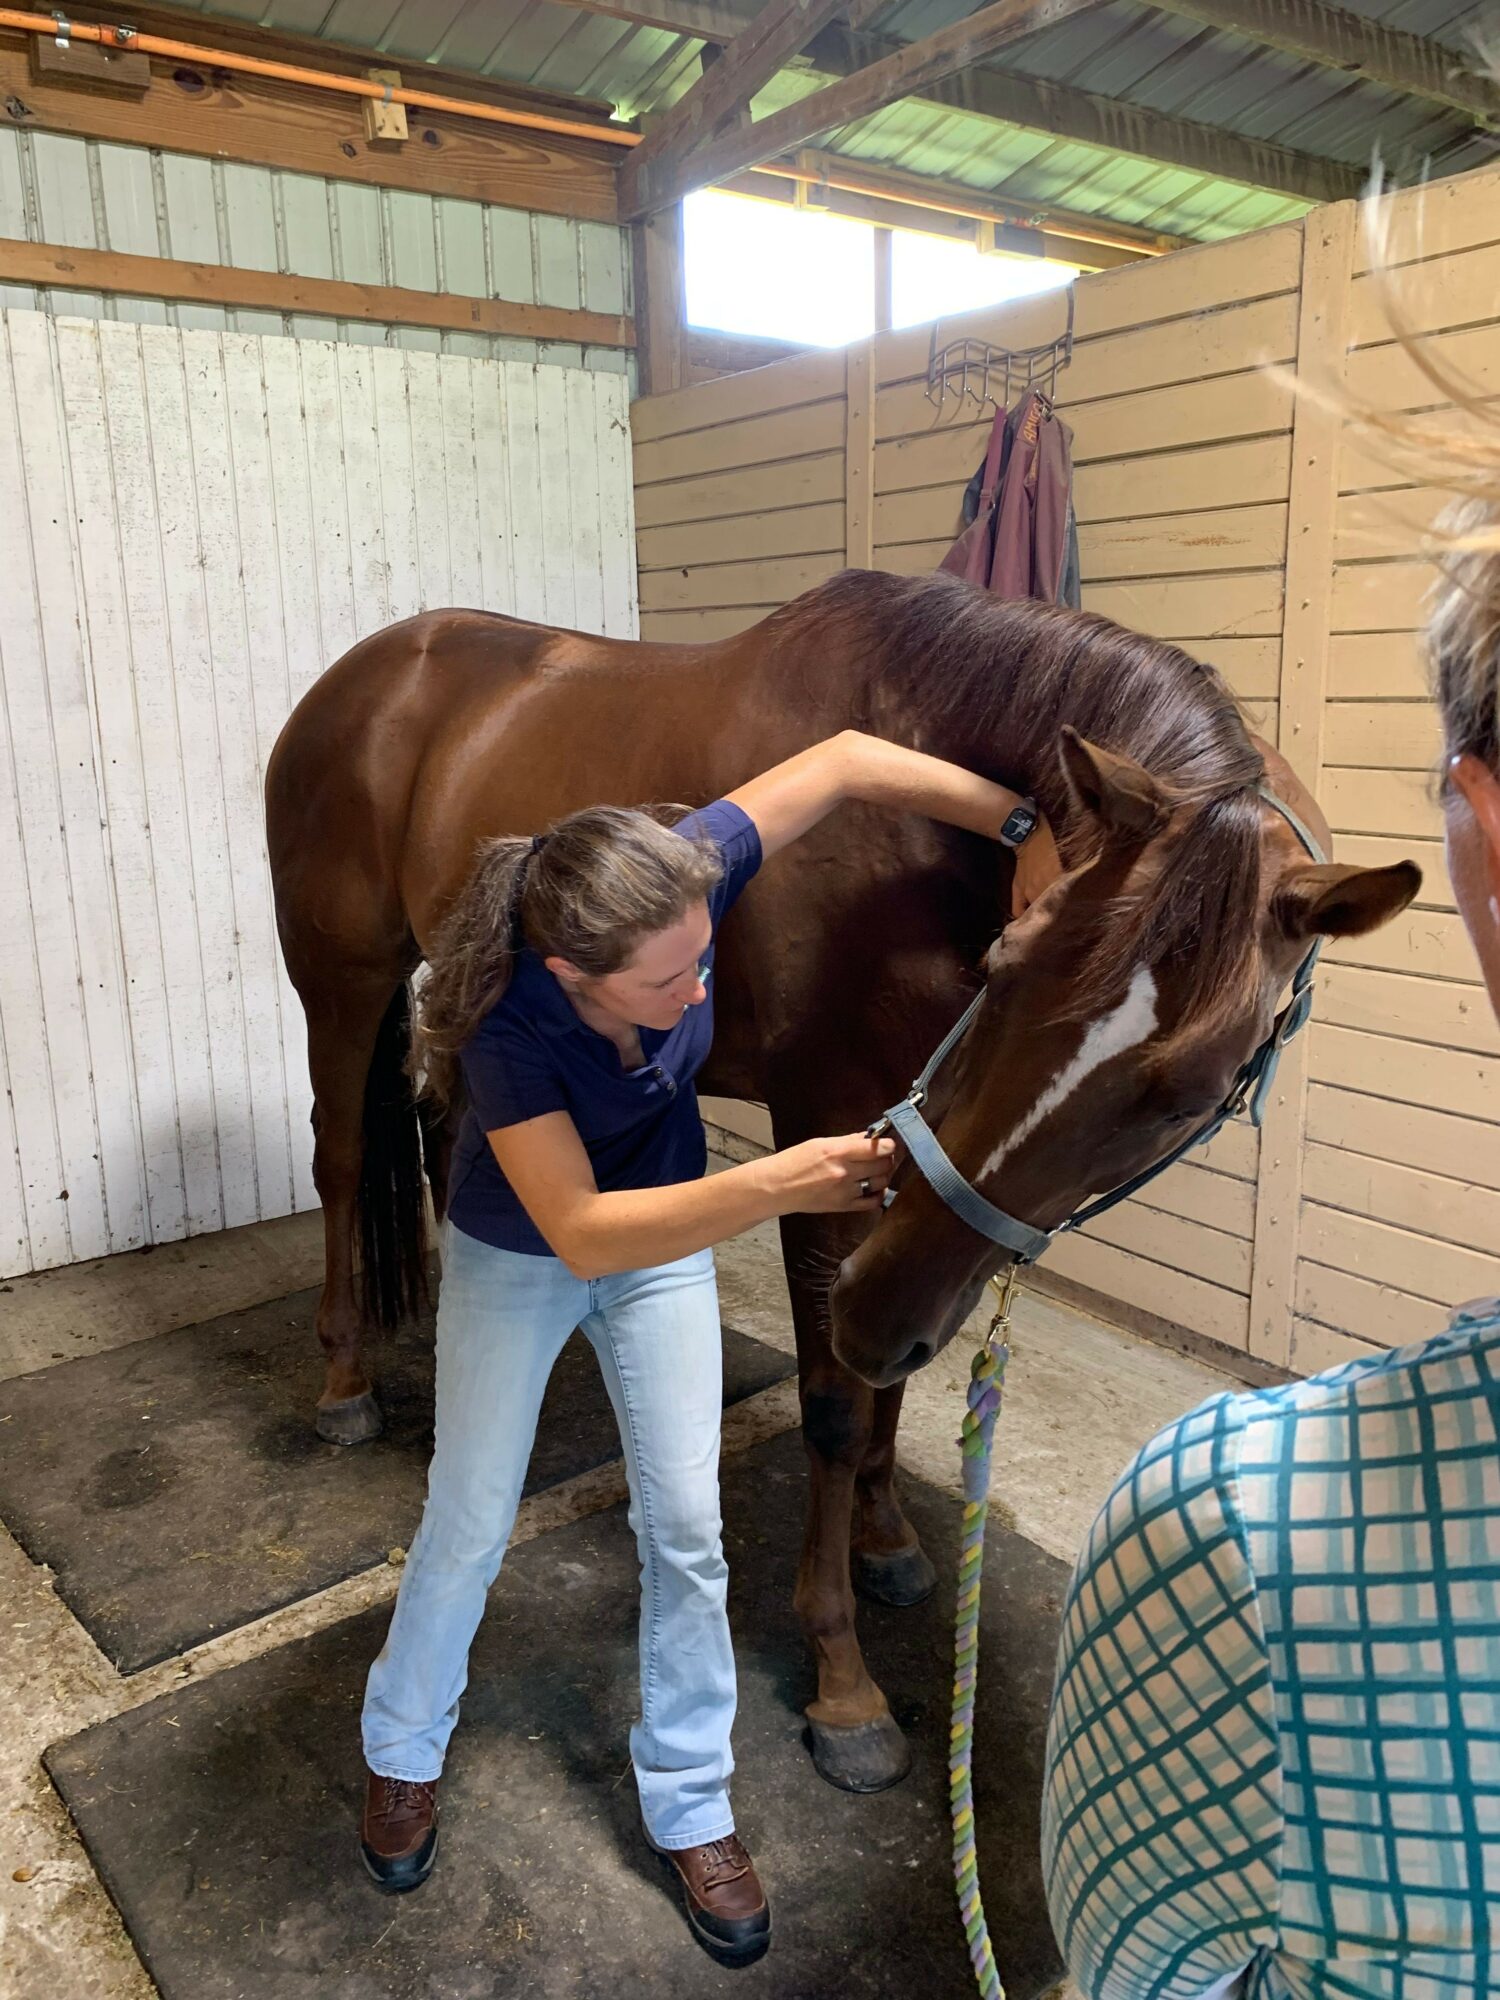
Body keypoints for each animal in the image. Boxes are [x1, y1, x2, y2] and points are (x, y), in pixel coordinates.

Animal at [265, 566, 1418, 1793]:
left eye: (1193, 1091)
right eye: (1009, 967)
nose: (871, 1309)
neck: (915, 845)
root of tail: (364, 675)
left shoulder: (915, 1173)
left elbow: (889, 1387)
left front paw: (887, 1538)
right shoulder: (826, 1127)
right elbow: (831, 1403)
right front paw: (843, 1682)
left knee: (449, 1137)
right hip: (344, 979)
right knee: (342, 1158)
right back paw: (346, 1379)